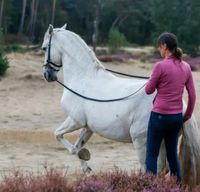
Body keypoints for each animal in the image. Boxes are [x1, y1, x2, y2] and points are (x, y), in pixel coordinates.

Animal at [41, 24, 200, 186]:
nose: (47, 75)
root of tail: (183, 107)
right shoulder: (88, 127)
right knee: (165, 167)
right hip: (163, 141)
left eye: (44, 48)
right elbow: (78, 144)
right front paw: (88, 169)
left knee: (150, 167)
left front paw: (84, 157)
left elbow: (62, 138)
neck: (83, 78)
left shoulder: (75, 120)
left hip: (142, 141)